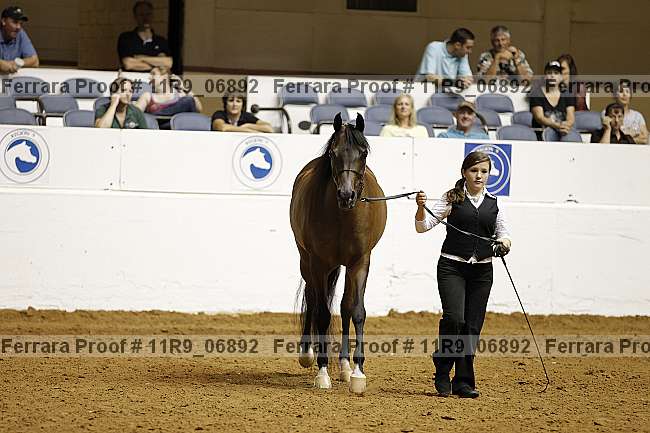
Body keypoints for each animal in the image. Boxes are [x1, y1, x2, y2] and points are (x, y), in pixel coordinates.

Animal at [289, 113, 387, 392]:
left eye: (363, 153)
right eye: (333, 153)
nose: (346, 195)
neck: (343, 217)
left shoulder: (360, 262)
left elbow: (356, 311)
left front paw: (357, 372)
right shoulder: (319, 263)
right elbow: (322, 313)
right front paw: (322, 373)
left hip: (343, 266)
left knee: (344, 306)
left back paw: (344, 365)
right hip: (306, 261)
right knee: (312, 298)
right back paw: (307, 354)